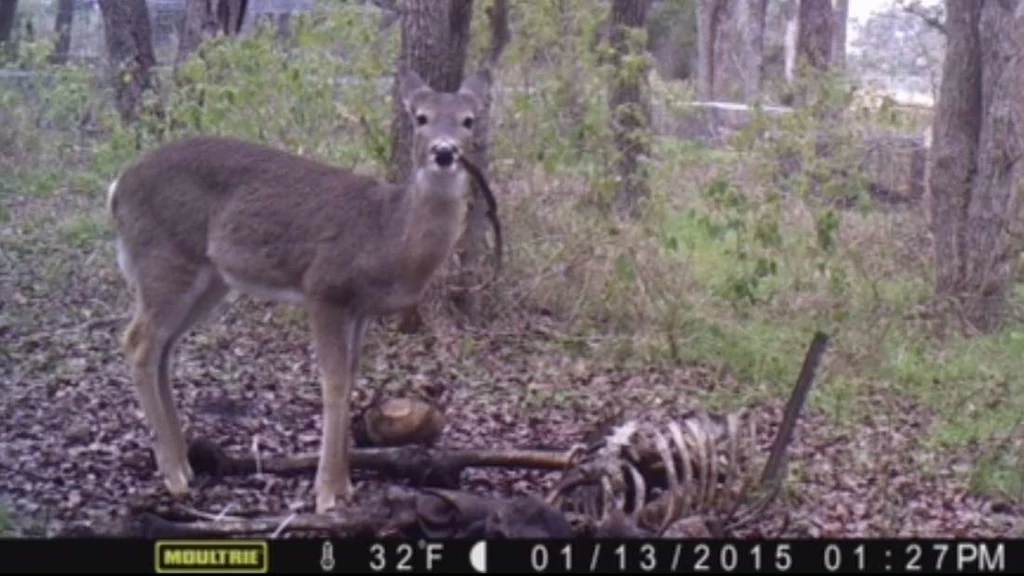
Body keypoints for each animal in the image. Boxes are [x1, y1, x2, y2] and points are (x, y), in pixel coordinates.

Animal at [107, 66, 495, 510]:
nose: (444, 152)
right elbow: (334, 383)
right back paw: (173, 475)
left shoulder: (360, 308)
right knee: (138, 342)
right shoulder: (323, 287)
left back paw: (185, 464)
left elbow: (352, 377)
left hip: (210, 278)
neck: (387, 236)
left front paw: (345, 486)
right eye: (421, 117)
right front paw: (326, 494)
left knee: (164, 347)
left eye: (468, 120)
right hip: (164, 258)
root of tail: (117, 187)